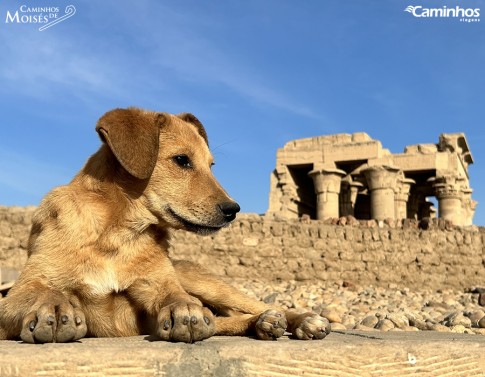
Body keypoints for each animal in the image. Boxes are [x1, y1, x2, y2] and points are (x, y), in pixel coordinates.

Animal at [0, 107, 328, 342]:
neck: (116, 235)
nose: (233, 210)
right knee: (222, 320)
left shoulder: (157, 286)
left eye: (211, 165)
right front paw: (54, 307)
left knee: (250, 307)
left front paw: (184, 308)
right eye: (182, 160)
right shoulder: (15, 295)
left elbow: (175, 296)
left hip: (204, 283)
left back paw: (299, 320)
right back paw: (260, 324)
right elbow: (43, 291)